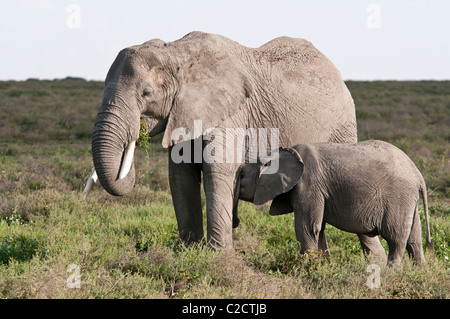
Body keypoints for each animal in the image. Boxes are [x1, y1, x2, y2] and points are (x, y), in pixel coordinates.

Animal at [83, 30, 376, 255]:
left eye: (146, 93)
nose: (135, 136)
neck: (177, 52)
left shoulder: (232, 114)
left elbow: (217, 171)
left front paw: (218, 257)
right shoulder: (185, 113)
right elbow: (180, 176)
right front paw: (189, 252)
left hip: (343, 126)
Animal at [239, 141, 432, 268]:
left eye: (241, 175)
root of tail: (419, 175)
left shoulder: (309, 185)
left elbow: (307, 227)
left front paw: (307, 269)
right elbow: (319, 230)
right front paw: (323, 267)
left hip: (398, 197)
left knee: (396, 238)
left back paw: (390, 273)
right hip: (409, 201)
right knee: (414, 239)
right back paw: (419, 271)